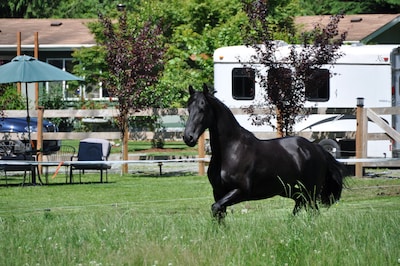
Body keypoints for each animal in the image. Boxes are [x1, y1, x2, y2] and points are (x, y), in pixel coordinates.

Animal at [184, 84, 344, 219]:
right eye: (188, 108)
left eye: (203, 108)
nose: (188, 137)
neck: (230, 152)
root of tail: (316, 149)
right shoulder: (218, 192)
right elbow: (219, 214)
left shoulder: (240, 191)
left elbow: (215, 208)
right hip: (288, 189)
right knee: (300, 203)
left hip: (311, 190)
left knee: (312, 210)